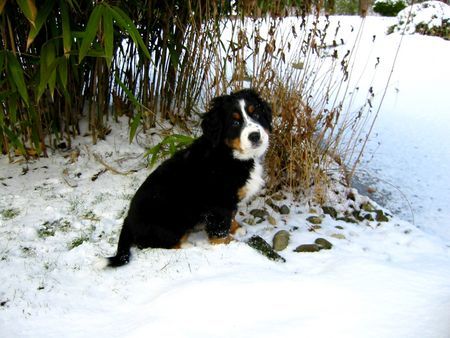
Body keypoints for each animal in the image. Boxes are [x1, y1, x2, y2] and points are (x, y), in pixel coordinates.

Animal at [108, 89, 270, 266]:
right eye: (235, 122)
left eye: (257, 115)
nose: (255, 136)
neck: (229, 154)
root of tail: (128, 221)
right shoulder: (218, 203)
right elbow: (220, 229)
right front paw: (228, 246)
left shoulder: (227, 201)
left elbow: (231, 215)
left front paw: (237, 229)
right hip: (172, 221)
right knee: (159, 244)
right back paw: (189, 246)